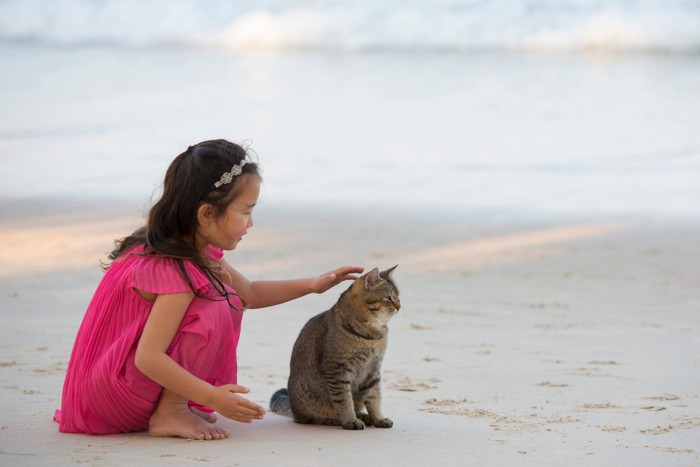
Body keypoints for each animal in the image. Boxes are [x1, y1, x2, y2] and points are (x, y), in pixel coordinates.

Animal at [270, 266, 400, 432]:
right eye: (388, 298)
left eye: (398, 297)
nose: (399, 306)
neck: (372, 336)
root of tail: (293, 408)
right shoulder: (337, 370)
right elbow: (344, 400)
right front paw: (350, 420)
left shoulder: (373, 370)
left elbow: (374, 398)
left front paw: (378, 418)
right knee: (307, 418)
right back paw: (334, 419)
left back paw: (363, 416)